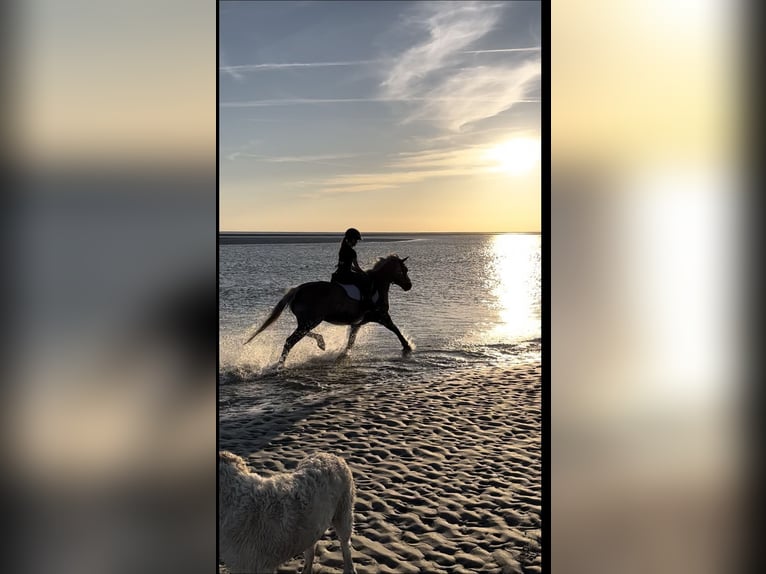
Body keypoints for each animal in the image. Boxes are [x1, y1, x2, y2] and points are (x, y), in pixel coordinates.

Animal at [219, 452, 356, 572]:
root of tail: (331, 455)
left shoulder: (253, 564)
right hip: (310, 527)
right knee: (311, 550)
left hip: (343, 513)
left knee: (345, 545)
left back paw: (349, 568)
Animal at [246, 255, 414, 366]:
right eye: (404, 270)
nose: (409, 286)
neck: (377, 285)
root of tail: (298, 290)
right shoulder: (382, 316)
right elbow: (395, 329)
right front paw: (407, 346)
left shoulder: (357, 323)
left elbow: (351, 341)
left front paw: (343, 355)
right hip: (311, 320)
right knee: (290, 341)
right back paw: (280, 366)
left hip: (307, 321)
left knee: (303, 334)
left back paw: (321, 343)